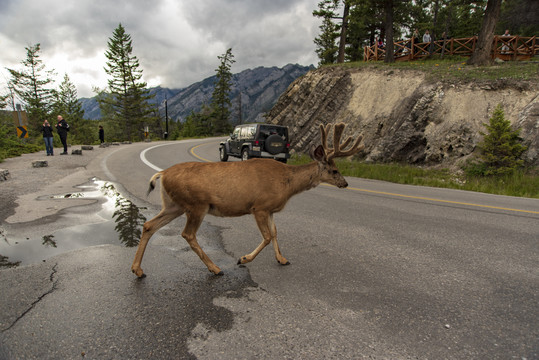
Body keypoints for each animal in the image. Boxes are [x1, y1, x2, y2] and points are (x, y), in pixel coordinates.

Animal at [132, 122, 364, 278]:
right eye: (334, 170)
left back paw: (138, 269)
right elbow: (268, 236)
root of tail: (163, 173)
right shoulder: (259, 206)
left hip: (174, 205)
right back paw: (215, 268)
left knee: (149, 225)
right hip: (196, 204)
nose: (345, 183)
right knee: (187, 234)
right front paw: (243, 258)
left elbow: (275, 233)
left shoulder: (270, 209)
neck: (287, 183)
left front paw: (282, 259)